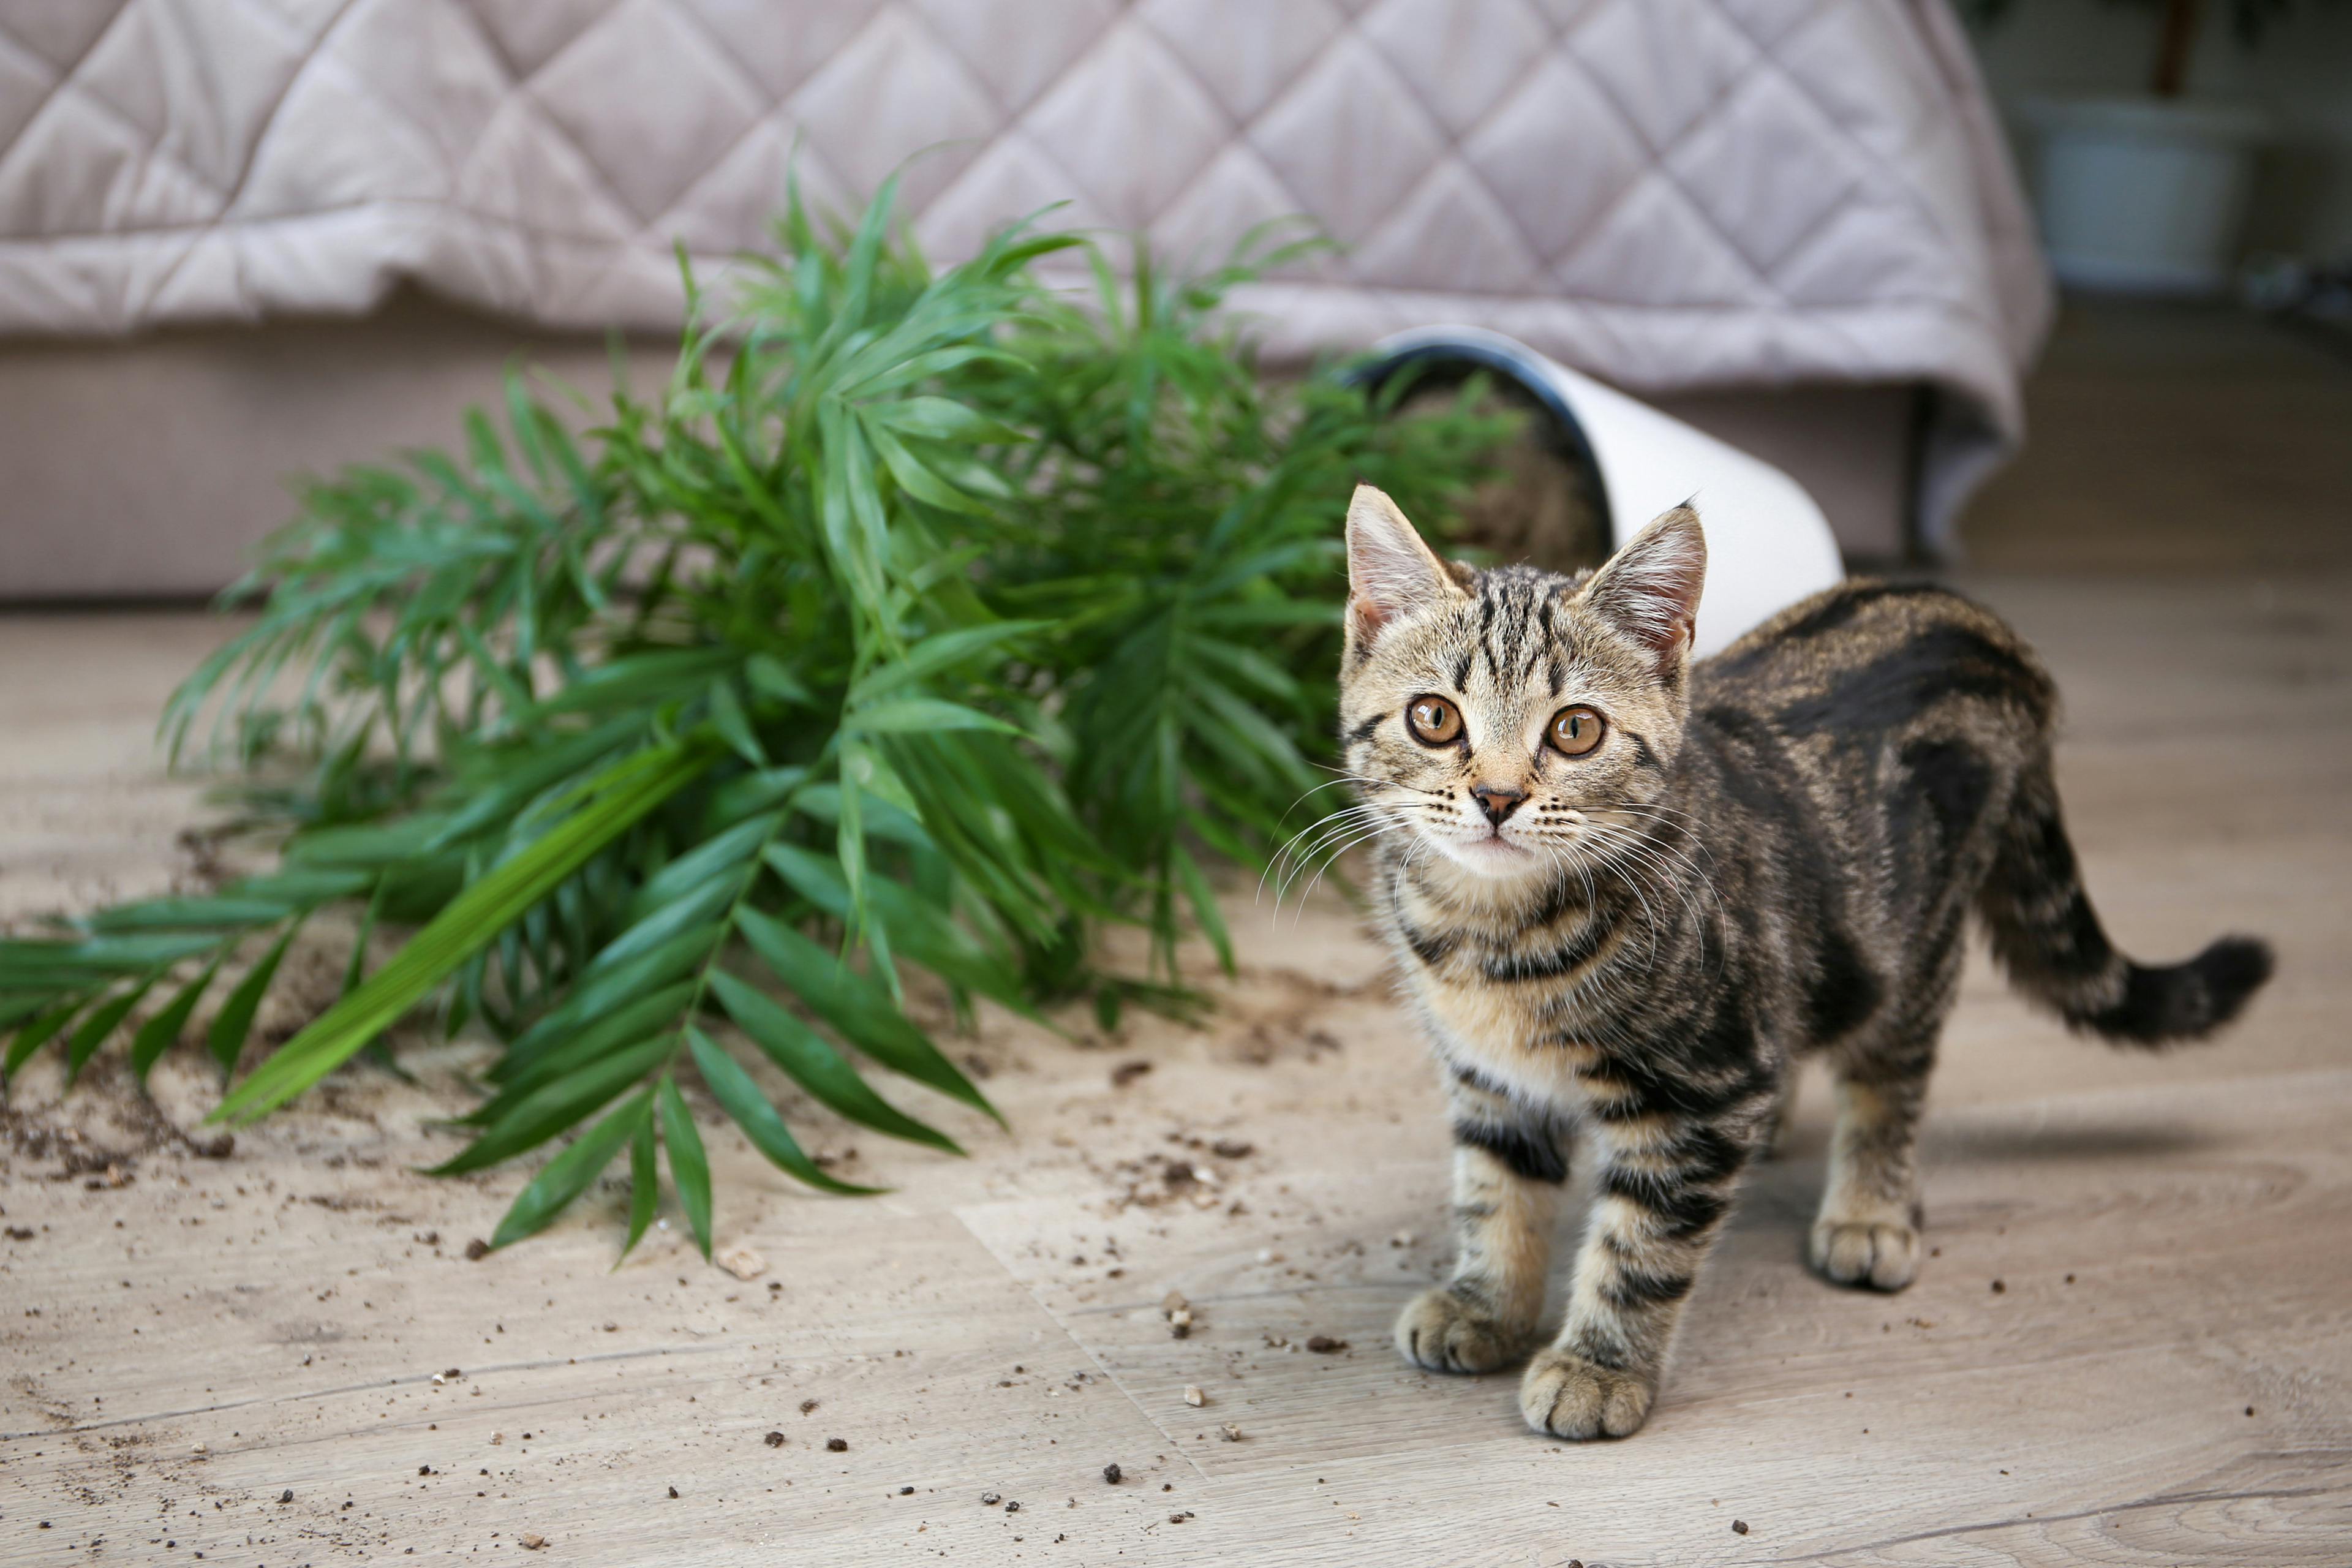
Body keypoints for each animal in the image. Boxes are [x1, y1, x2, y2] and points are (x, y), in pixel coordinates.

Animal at [1345, 484, 2277, 1438]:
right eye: (1434, 718)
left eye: (1575, 730)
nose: (1496, 798)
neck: (1496, 932)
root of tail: (1987, 628)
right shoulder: (1489, 1077)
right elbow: (1495, 1191)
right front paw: (1485, 1304)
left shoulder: (1696, 1095)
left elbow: (1641, 1241)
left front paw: (1599, 1367)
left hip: (1914, 941)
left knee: (1891, 1076)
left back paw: (1871, 1209)